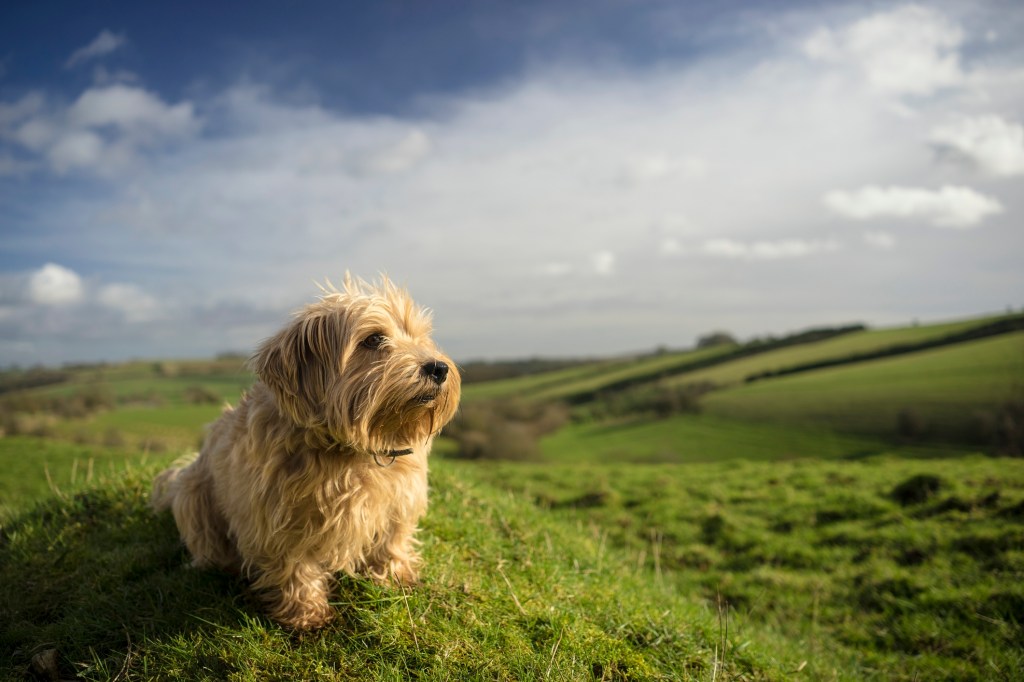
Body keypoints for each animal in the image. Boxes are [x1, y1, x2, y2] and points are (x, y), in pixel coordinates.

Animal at [150, 274, 460, 626]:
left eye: (421, 336)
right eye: (373, 339)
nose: (438, 368)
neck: (350, 451)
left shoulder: (399, 502)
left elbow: (391, 540)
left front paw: (396, 577)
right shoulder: (280, 519)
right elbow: (295, 564)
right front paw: (307, 613)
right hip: (193, 495)